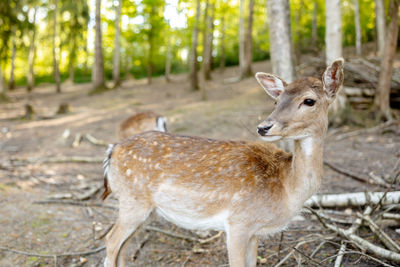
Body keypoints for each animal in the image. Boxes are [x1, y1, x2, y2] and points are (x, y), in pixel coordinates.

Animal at [102, 59, 344, 267]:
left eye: (309, 100)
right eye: (276, 100)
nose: (263, 127)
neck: (287, 190)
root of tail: (112, 151)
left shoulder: (254, 232)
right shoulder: (238, 223)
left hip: (143, 209)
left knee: (122, 247)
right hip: (132, 201)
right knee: (111, 241)